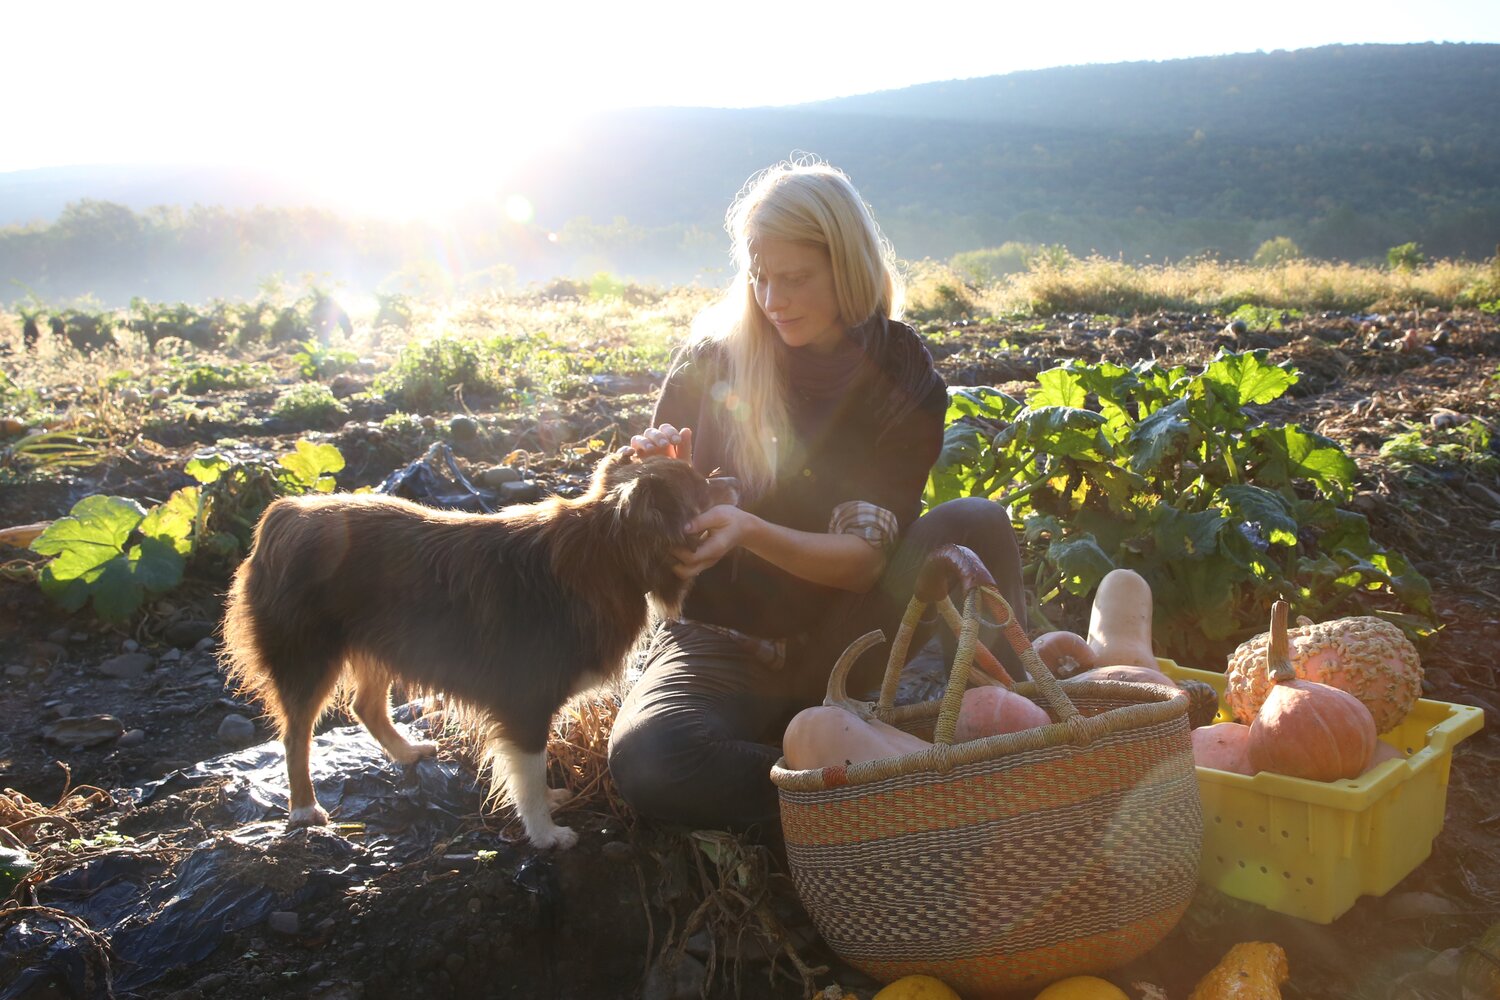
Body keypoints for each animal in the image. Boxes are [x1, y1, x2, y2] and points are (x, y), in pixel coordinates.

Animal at [223, 449, 738, 851]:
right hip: (309, 658)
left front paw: (547, 799)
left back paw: (406, 752)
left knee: (365, 705)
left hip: (383, 643)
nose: (733, 481)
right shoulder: (524, 701)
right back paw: (305, 809)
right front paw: (545, 833)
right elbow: (527, 768)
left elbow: (531, 770)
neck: (607, 548)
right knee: (296, 735)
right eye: (699, 488)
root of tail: (285, 514)